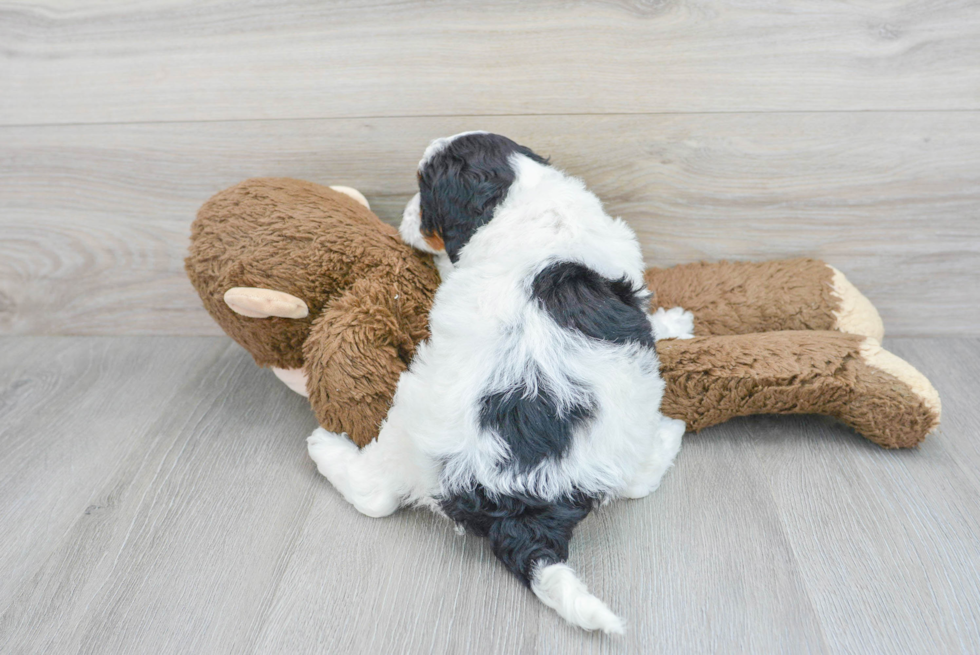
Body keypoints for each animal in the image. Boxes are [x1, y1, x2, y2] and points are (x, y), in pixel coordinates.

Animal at [310, 133, 684, 636]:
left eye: (423, 192)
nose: (403, 215)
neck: (518, 192)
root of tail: (514, 497)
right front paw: (675, 322)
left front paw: (675, 322)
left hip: (413, 419)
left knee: (376, 493)